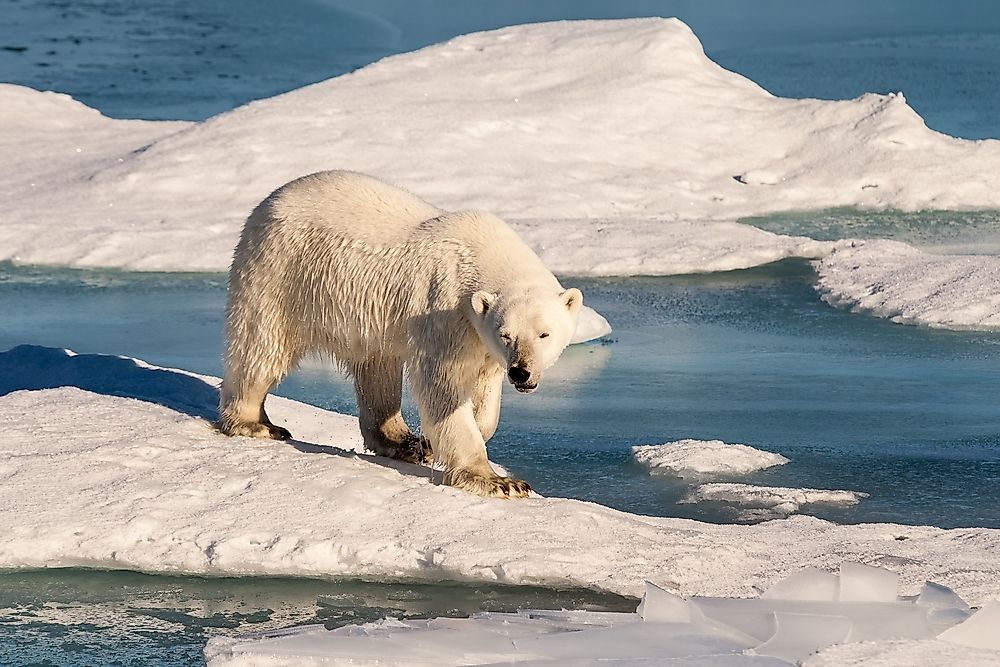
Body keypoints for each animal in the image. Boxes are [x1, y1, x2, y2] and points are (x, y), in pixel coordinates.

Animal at [215, 170, 584, 498]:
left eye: (544, 334)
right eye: (506, 334)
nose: (521, 372)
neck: (482, 253)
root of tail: (270, 200)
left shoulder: (479, 340)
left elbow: (484, 392)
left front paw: (447, 438)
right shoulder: (444, 312)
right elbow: (443, 387)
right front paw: (497, 481)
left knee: (378, 368)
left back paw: (402, 440)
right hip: (281, 272)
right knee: (261, 346)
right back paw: (255, 423)